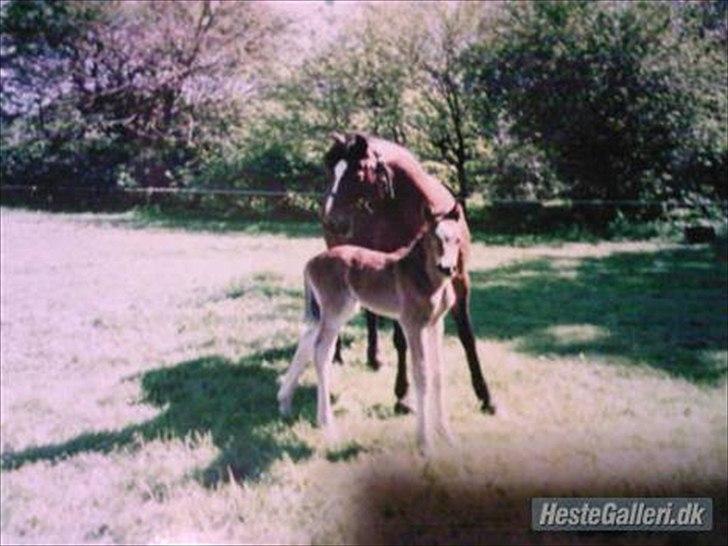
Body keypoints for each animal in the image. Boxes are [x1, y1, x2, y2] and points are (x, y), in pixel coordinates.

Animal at [278, 205, 460, 450]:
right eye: (433, 238)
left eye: (457, 240)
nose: (447, 268)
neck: (425, 277)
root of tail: (310, 262)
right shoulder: (412, 325)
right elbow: (421, 376)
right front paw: (424, 443)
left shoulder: (435, 325)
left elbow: (438, 374)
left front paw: (446, 435)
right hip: (334, 312)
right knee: (321, 352)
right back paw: (325, 421)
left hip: (336, 311)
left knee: (306, 342)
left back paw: (284, 402)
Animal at [318, 132, 494, 412]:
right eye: (329, 170)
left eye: (358, 171)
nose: (332, 220)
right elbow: (402, 340)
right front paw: (403, 395)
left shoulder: (459, 281)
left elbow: (467, 337)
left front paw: (486, 397)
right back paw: (338, 354)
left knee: (370, 313)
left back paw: (374, 358)